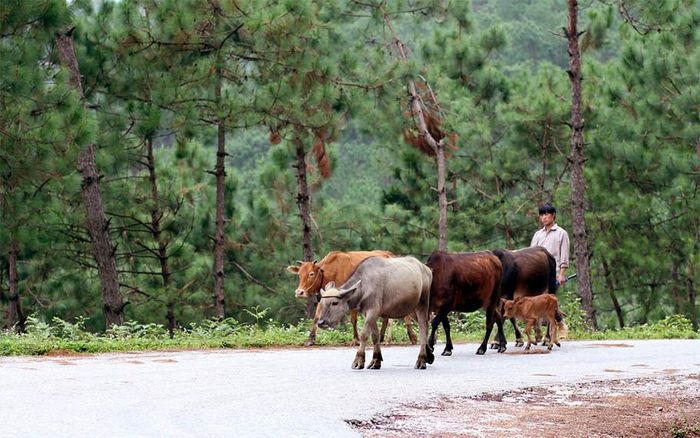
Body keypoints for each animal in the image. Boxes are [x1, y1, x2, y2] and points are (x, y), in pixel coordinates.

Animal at [286, 250, 416, 346]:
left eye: (311, 274)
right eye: (299, 274)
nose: (299, 292)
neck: (330, 271)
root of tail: (390, 254)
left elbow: (353, 320)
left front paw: (355, 340)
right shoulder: (325, 298)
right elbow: (317, 317)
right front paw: (310, 340)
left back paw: (411, 337)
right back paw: (383, 337)